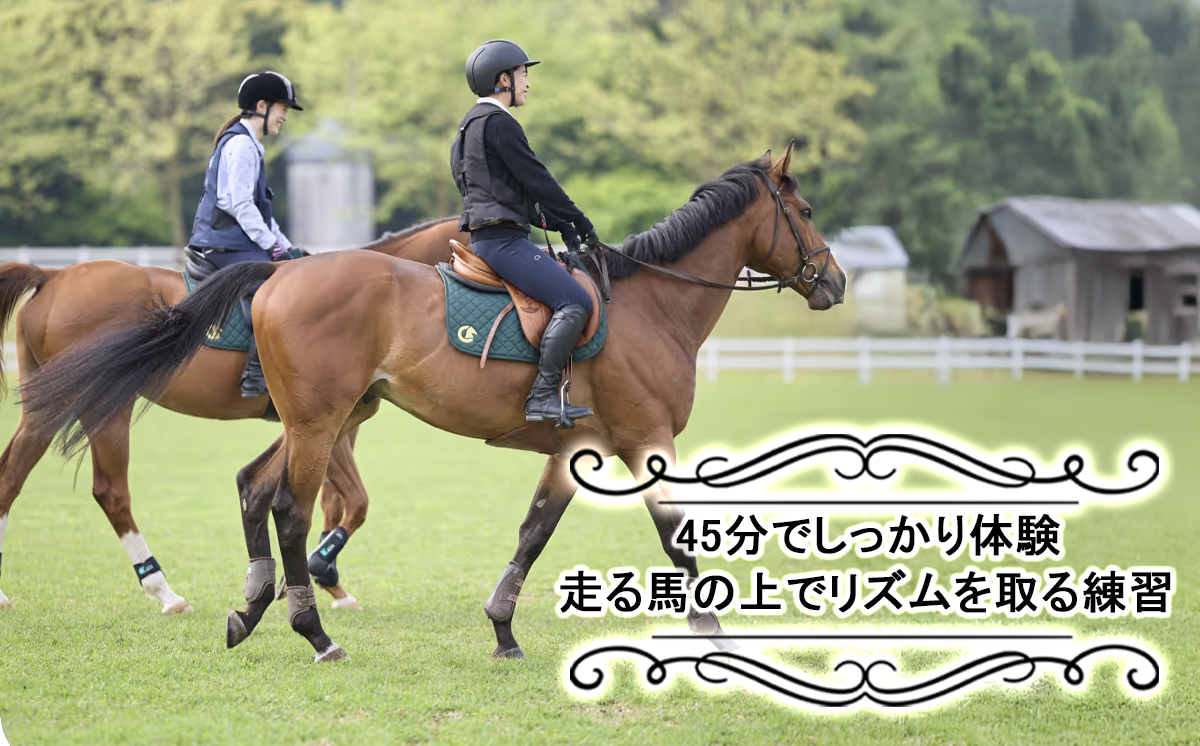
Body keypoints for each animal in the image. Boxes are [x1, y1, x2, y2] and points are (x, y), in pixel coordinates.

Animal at [0, 216, 466, 613]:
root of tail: (55, 275)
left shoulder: (330, 425)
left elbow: (337, 503)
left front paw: (323, 580)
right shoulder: (318, 424)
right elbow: (354, 501)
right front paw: (317, 573)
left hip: (48, 405)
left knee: (10, 477)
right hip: (107, 405)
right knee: (111, 492)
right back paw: (164, 590)